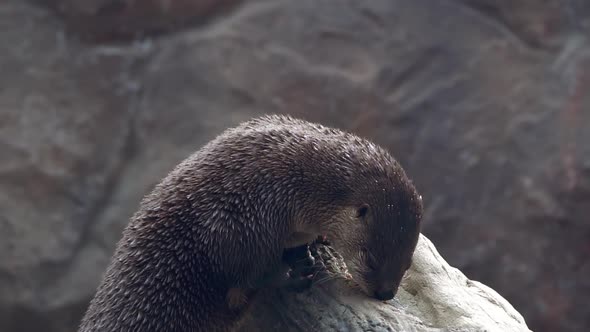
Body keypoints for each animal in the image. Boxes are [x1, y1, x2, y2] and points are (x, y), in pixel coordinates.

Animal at [77, 114, 426, 332]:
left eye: (407, 262)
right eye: (371, 258)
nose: (386, 293)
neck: (296, 181)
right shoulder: (239, 217)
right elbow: (242, 270)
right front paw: (293, 272)